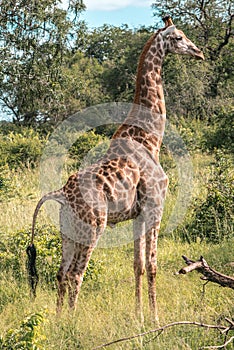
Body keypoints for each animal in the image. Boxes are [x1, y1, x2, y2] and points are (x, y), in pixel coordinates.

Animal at [27, 15, 203, 320]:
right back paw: (72, 324)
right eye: (179, 37)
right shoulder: (156, 206)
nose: (199, 52)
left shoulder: (137, 215)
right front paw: (155, 318)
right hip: (92, 229)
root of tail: (60, 194)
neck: (150, 138)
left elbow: (138, 265)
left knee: (61, 273)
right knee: (75, 274)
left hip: (67, 231)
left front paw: (139, 317)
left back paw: (59, 321)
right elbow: (153, 266)